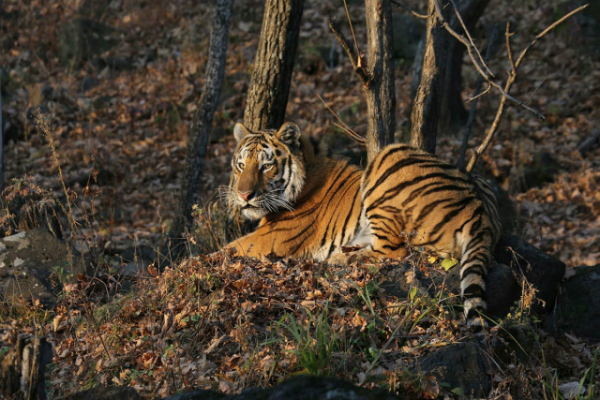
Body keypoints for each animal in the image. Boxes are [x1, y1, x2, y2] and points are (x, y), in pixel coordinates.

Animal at [225, 122, 502, 324]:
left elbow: (225, 251)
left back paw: (336, 259)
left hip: (389, 155)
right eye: (241, 165)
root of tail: (481, 211)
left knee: (394, 251)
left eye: (266, 166)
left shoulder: (270, 239)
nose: (243, 195)